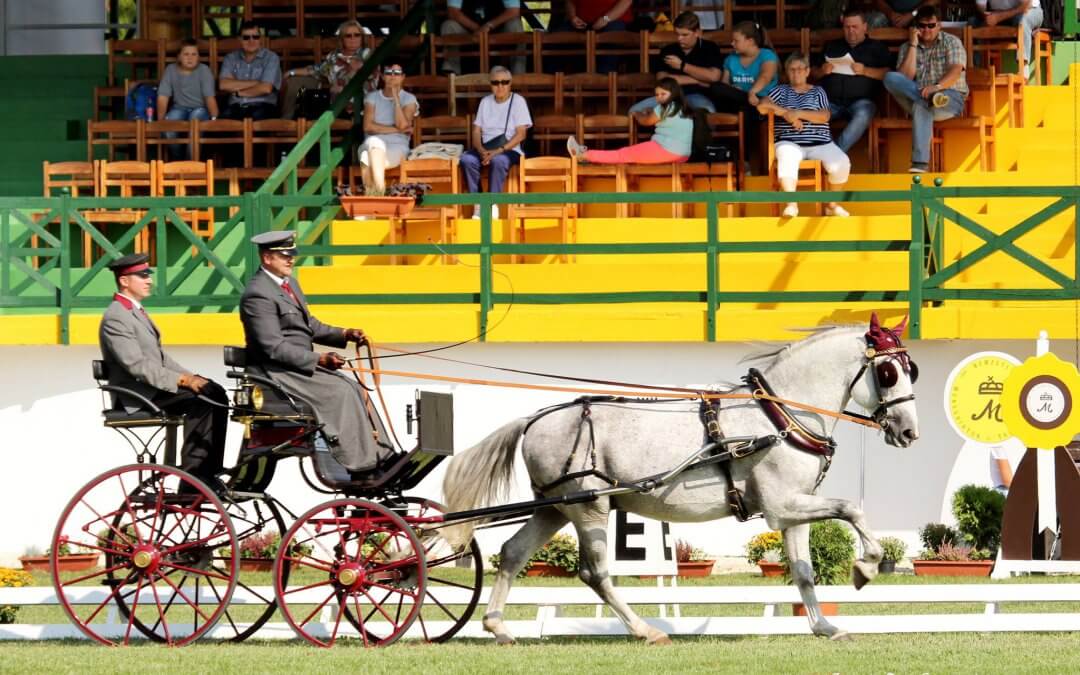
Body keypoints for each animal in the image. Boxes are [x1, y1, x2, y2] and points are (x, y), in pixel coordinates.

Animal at [442, 314, 919, 644]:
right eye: (889, 373)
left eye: (910, 369)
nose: (909, 432)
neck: (779, 415)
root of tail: (535, 420)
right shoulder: (781, 506)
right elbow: (851, 508)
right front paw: (865, 567)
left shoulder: (792, 511)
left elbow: (803, 571)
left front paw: (824, 626)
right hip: (589, 505)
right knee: (595, 573)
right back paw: (646, 630)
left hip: (557, 508)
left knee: (512, 553)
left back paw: (498, 626)